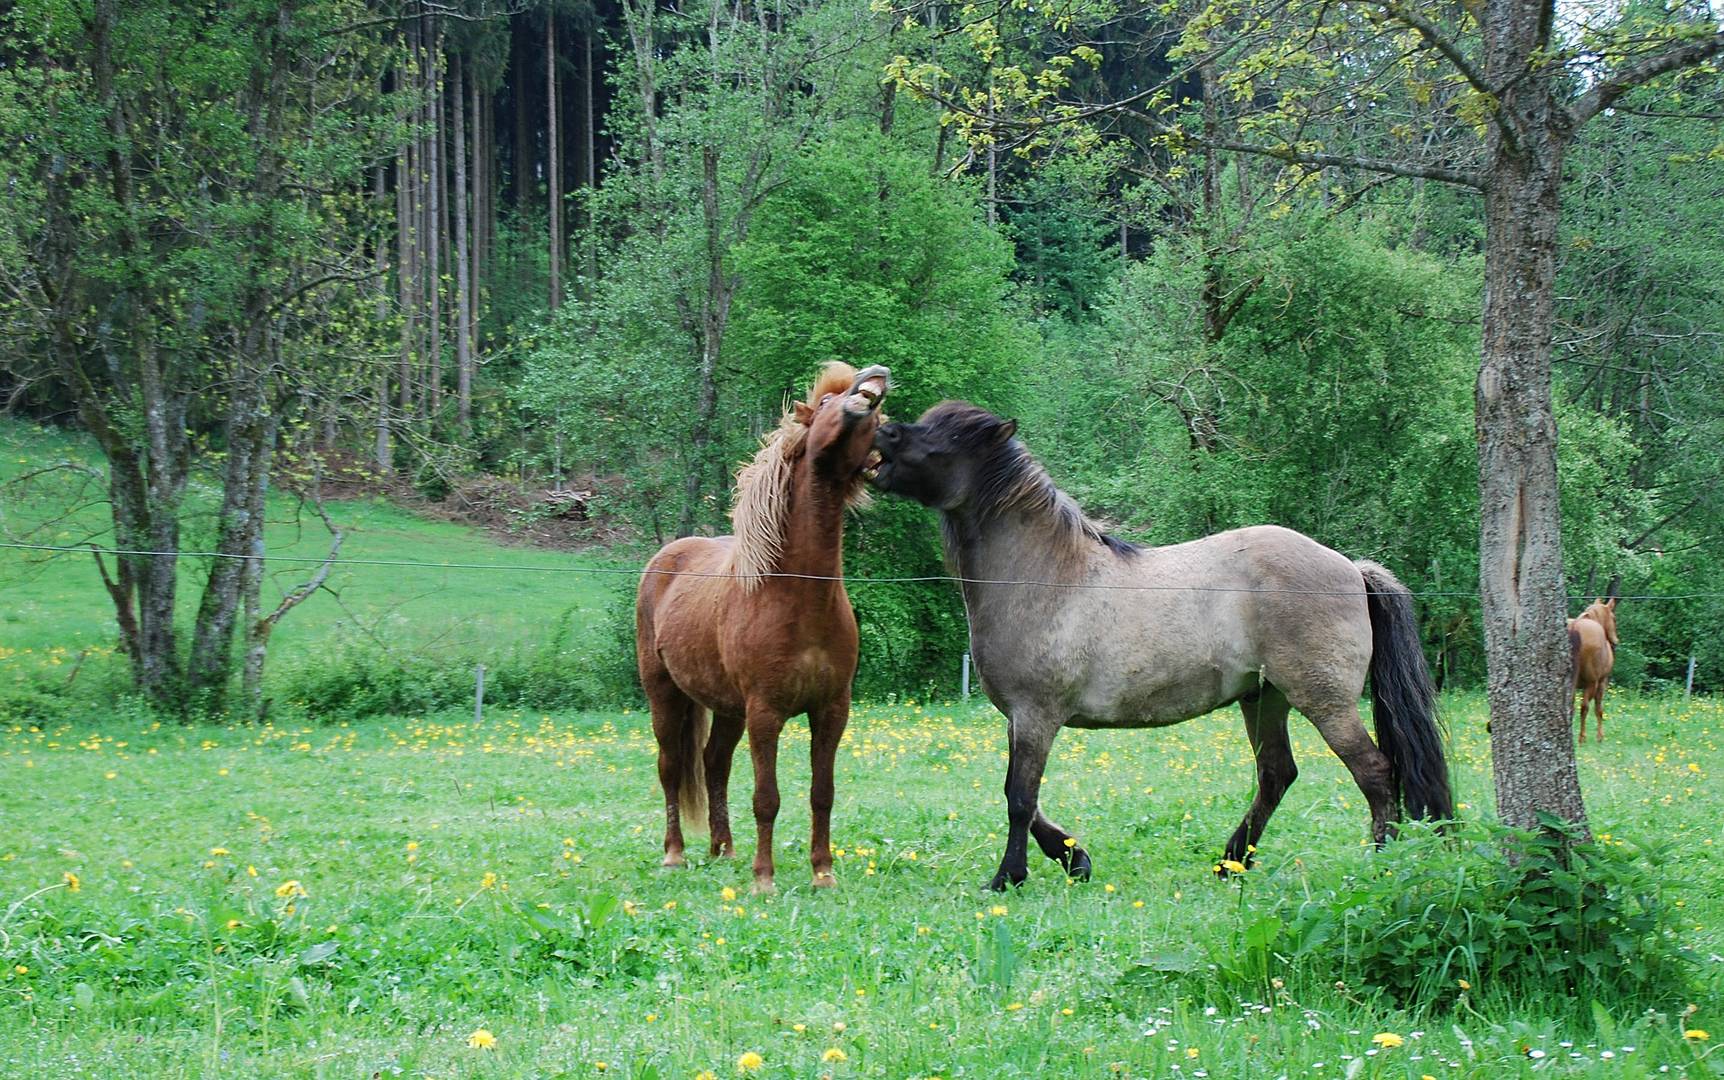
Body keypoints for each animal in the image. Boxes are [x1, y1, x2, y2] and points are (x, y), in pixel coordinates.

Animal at [641, 362, 896, 890]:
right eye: (825, 403)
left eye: (878, 420)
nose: (876, 375)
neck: (799, 597)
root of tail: (666, 556)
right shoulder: (765, 713)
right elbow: (767, 798)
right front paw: (765, 879)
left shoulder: (832, 711)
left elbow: (822, 793)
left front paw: (823, 873)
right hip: (665, 695)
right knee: (671, 767)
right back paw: (675, 854)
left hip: (727, 708)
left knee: (714, 764)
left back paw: (723, 849)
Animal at [868, 400, 1448, 890]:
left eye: (943, 440)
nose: (882, 431)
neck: (1046, 575)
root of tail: (1351, 568)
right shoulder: (1022, 718)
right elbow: (1022, 798)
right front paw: (1074, 858)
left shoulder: (1035, 715)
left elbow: (1018, 798)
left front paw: (1009, 877)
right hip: (1265, 698)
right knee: (1277, 775)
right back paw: (1231, 863)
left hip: (1323, 701)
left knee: (1374, 773)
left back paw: (1382, 863)